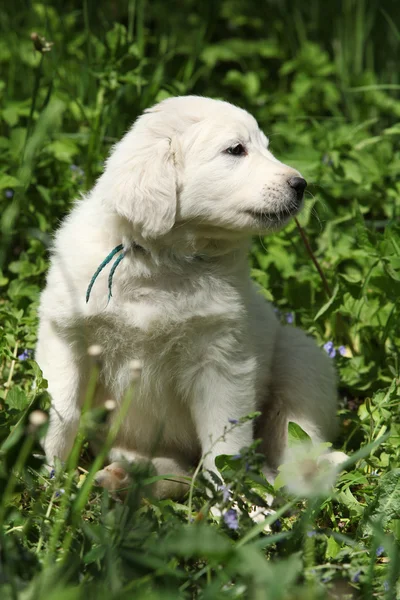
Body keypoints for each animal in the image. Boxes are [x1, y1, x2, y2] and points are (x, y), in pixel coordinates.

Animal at [36, 94, 340, 496]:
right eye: (235, 150)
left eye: (265, 147)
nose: (301, 184)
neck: (162, 262)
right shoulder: (66, 336)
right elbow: (63, 409)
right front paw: (50, 477)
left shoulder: (223, 360)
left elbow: (224, 445)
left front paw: (231, 504)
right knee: (179, 471)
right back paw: (128, 476)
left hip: (302, 358)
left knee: (292, 445)